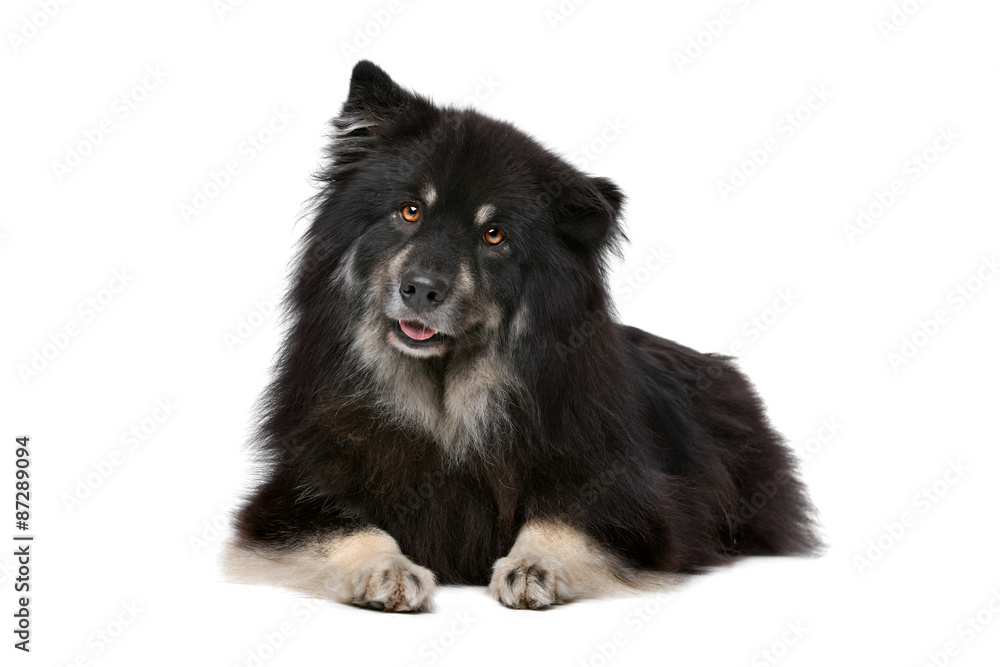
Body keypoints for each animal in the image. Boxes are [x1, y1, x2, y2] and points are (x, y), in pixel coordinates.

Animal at [223, 62, 816, 612]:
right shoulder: (296, 496)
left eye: (494, 236)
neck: (447, 406)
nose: (421, 289)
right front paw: (387, 571)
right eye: (410, 211)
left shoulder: (630, 502)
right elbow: (351, 528)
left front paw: (535, 565)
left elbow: (563, 519)